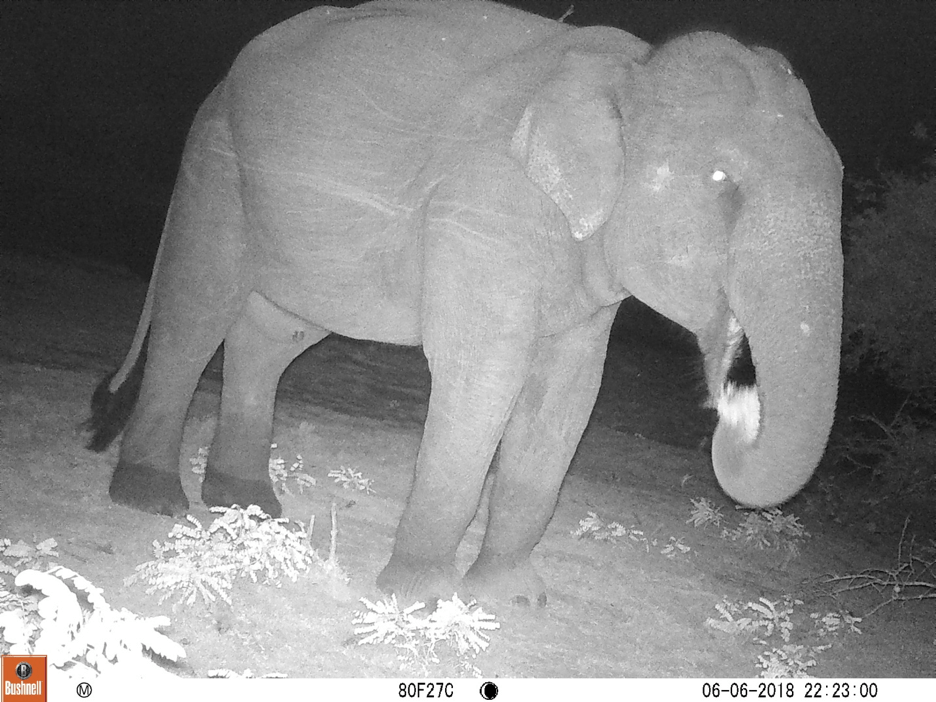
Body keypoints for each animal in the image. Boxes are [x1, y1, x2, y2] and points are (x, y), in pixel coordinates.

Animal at [87, 0, 843, 606]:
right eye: (721, 181)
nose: (735, 409)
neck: (632, 67)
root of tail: (219, 86)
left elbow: (567, 395)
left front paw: (515, 600)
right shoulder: (481, 209)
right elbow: (486, 377)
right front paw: (416, 598)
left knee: (275, 334)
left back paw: (250, 506)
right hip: (217, 166)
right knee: (199, 308)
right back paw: (154, 501)